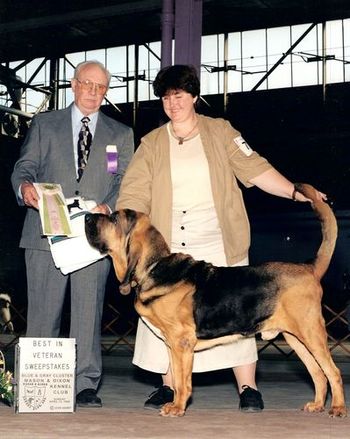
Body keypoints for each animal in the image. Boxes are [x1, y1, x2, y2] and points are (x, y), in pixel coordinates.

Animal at [85, 184, 348, 418]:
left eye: (114, 219)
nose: (87, 216)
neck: (154, 267)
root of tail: (309, 268)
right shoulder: (172, 345)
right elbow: (177, 379)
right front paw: (174, 404)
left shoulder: (181, 343)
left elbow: (183, 382)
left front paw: (177, 409)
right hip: (295, 338)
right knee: (318, 373)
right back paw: (317, 405)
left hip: (311, 333)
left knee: (333, 371)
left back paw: (337, 409)